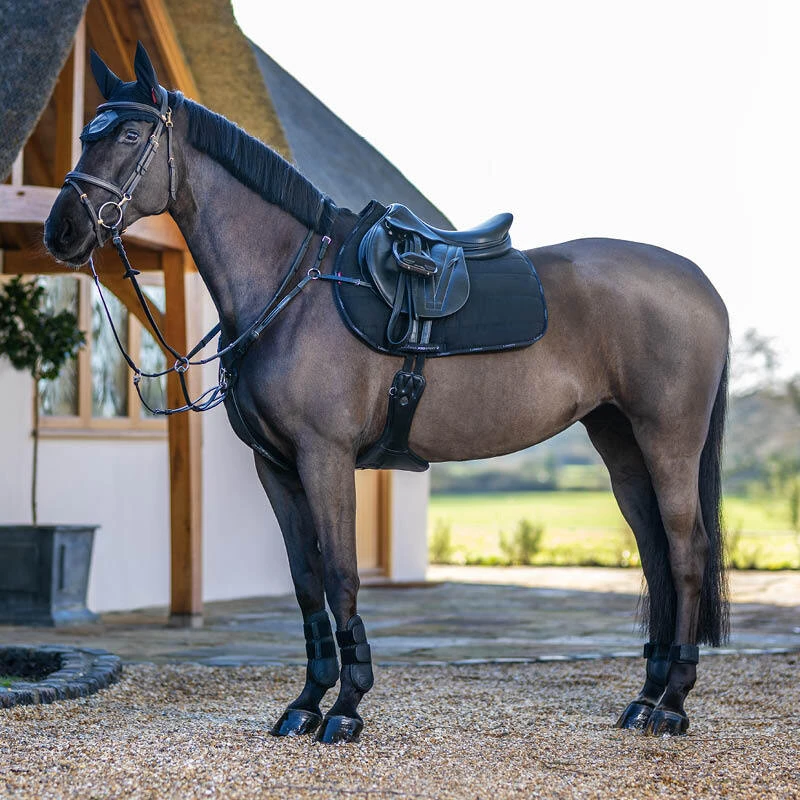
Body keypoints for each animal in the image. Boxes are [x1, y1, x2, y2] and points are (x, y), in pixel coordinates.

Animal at [44, 44, 729, 744]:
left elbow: (341, 575)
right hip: (621, 442)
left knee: (687, 552)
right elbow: (306, 581)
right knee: (655, 555)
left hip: (668, 440)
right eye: (84, 135)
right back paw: (645, 698)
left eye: (130, 135)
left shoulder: (325, 455)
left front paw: (346, 708)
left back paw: (673, 703)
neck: (293, 286)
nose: (61, 230)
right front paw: (306, 702)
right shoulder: (275, 467)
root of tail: (699, 283)